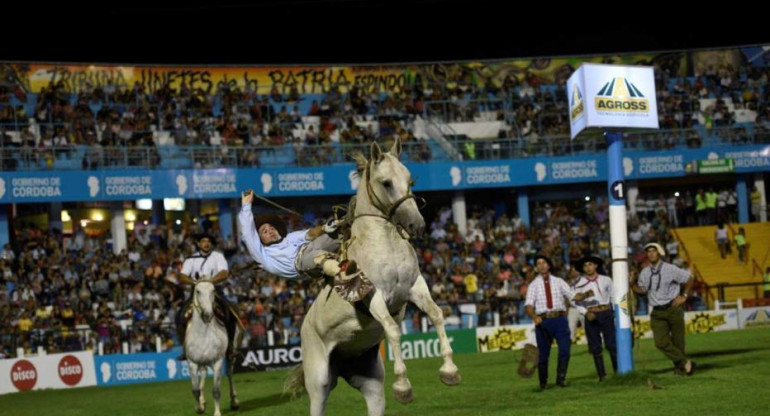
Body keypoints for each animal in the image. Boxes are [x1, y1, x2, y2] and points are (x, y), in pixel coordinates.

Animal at [184, 280, 238, 416]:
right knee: (203, 374)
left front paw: (217, 412)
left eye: (213, 291)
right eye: (197, 291)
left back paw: (234, 402)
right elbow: (195, 390)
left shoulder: (217, 363)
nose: (207, 315)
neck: (203, 334)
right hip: (202, 362)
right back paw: (203, 401)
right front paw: (199, 408)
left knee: (230, 374)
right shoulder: (192, 363)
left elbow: (216, 391)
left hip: (230, 356)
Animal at [290, 139, 462, 416]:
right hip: (318, 383)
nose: (417, 225)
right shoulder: (373, 294)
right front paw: (403, 386)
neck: (384, 245)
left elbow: (436, 314)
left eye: (410, 180)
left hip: (371, 385)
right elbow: (392, 329)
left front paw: (449, 371)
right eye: (386, 183)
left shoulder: (415, 286)